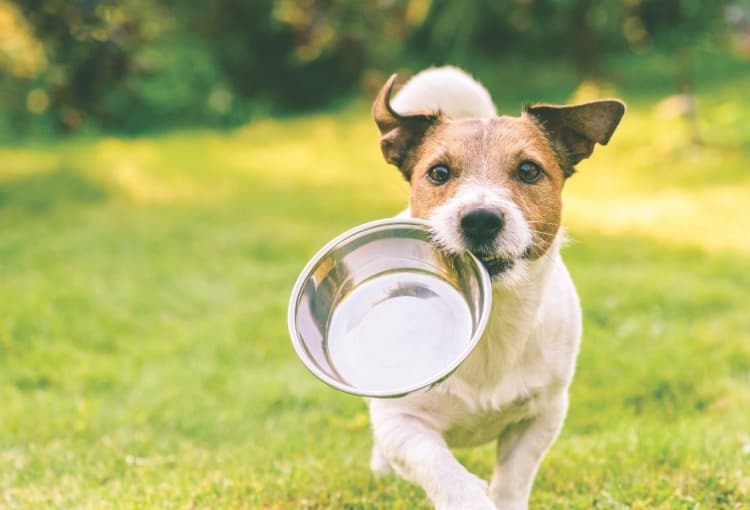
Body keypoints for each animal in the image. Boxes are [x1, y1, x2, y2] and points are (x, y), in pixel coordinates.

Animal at [368, 67, 624, 510]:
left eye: (528, 170)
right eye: (438, 173)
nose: (481, 219)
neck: (491, 322)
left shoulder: (542, 417)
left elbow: (511, 481)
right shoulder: (402, 422)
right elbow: (443, 471)